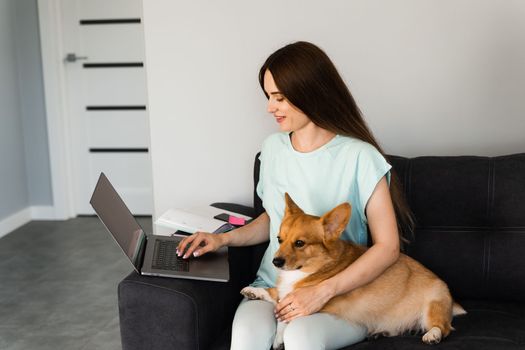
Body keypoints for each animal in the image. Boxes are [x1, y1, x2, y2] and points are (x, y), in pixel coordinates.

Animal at [239, 193, 464, 348]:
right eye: (279, 239)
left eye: (300, 243)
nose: (275, 261)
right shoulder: (284, 293)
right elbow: (275, 295)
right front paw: (255, 291)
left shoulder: (309, 305)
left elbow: (284, 318)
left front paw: (279, 337)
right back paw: (380, 333)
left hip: (433, 305)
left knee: (444, 327)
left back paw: (432, 335)